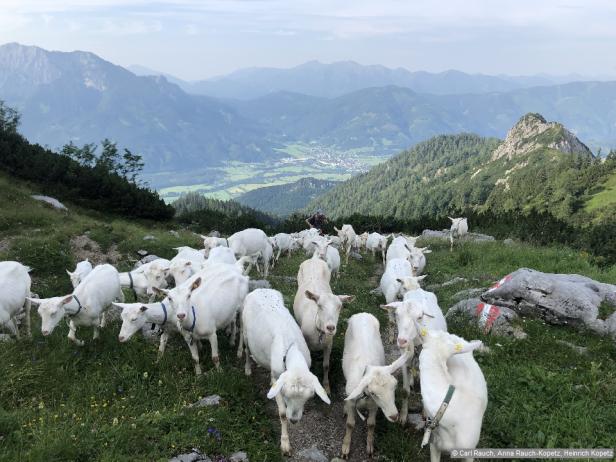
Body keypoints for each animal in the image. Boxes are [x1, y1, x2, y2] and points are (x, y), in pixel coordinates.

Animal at [242, 288, 332, 454]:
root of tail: (260, 289)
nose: (294, 420)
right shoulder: (277, 378)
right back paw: (248, 368)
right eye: (286, 394)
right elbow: (282, 414)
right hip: (244, 331)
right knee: (246, 349)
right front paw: (285, 444)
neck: (291, 348)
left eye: (309, 397)